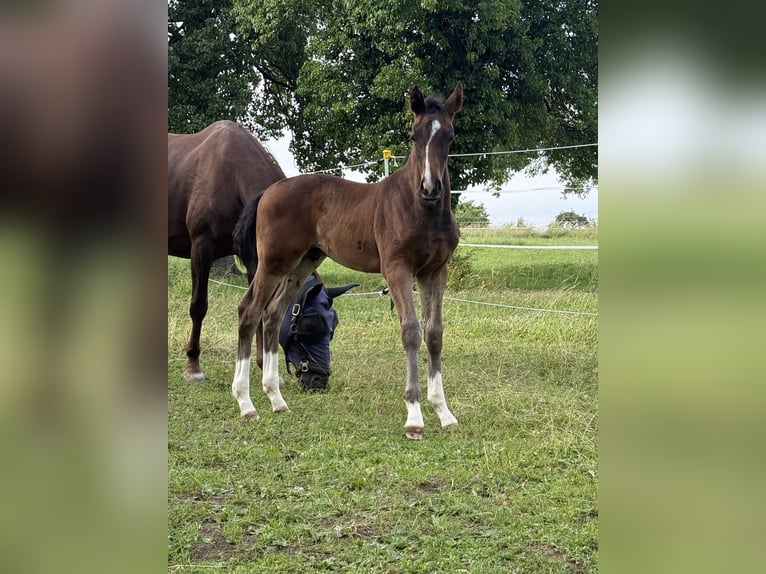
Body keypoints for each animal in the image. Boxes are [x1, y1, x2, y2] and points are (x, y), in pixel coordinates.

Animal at [231, 83, 463, 439]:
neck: (422, 210)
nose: (430, 187)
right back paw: (246, 403)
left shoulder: (435, 272)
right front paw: (414, 417)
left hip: (303, 263)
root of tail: (270, 190)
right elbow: (411, 331)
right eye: (414, 135)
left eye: (449, 136)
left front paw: (444, 412)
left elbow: (434, 333)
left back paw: (276, 399)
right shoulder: (397, 269)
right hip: (272, 262)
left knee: (272, 314)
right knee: (249, 311)